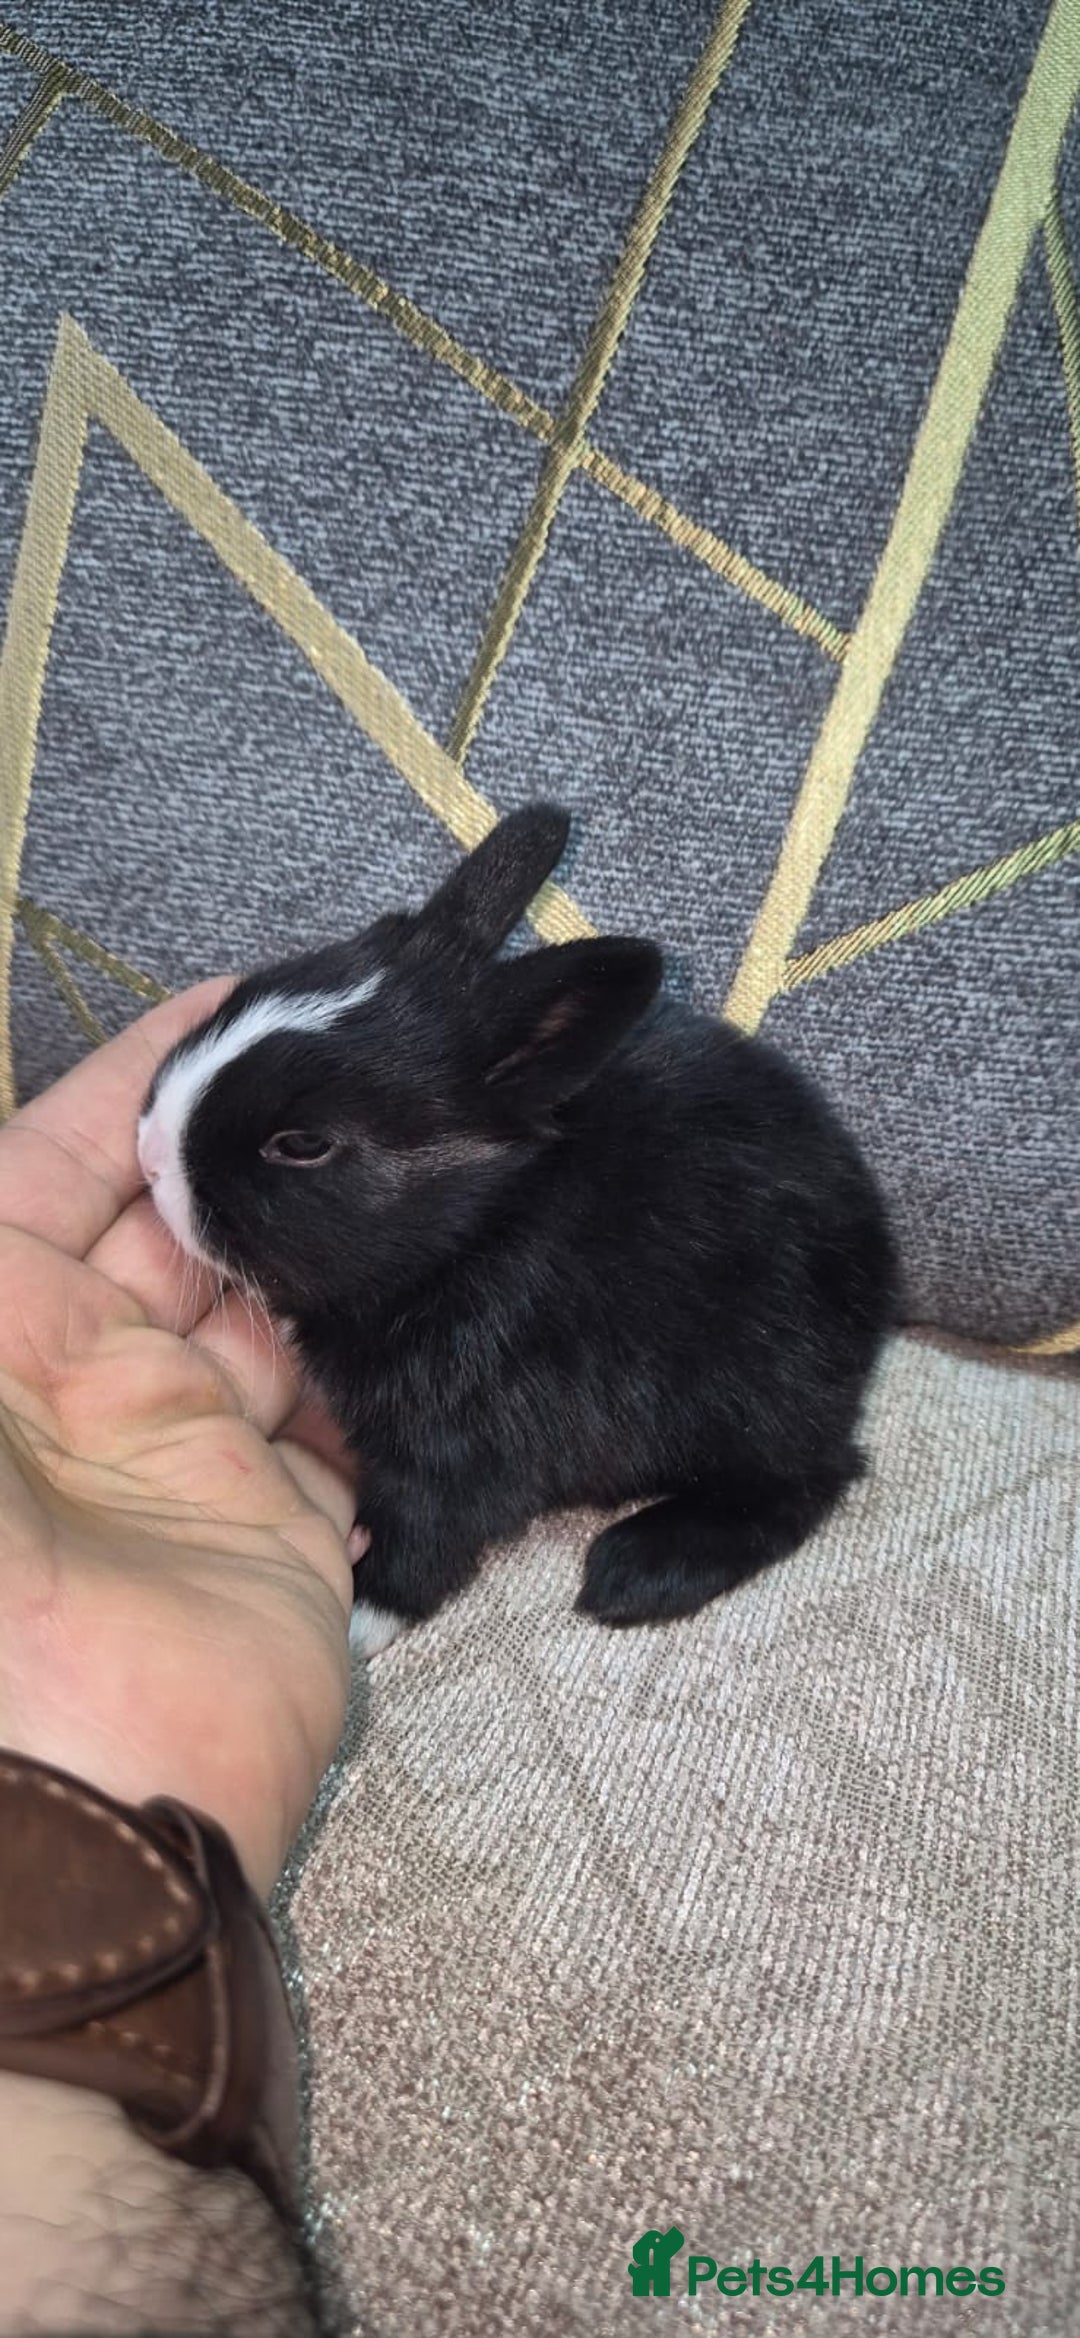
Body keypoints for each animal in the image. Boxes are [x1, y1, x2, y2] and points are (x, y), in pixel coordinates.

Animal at [138, 804, 899, 1653]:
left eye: (301, 1144)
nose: (149, 1156)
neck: (479, 1231)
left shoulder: (463, 1443)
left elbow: (423, 1532)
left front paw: (357, 1618)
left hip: (757, 1393)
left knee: (811, 1478)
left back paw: (637, 1570)